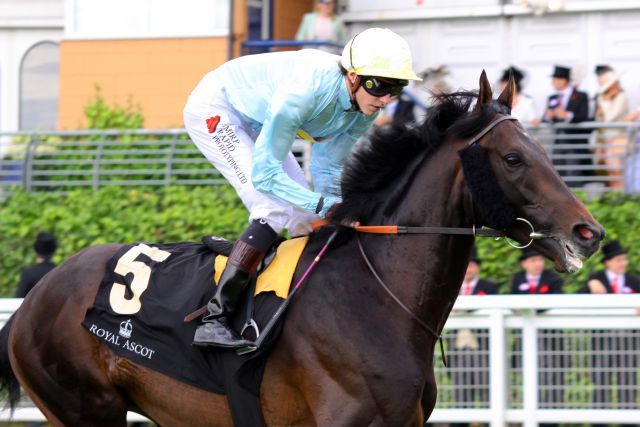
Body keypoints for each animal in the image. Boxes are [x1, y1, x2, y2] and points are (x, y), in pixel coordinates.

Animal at [0, 72, 604, 426]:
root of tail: (33, 300)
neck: (373, 297)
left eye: (541, 149)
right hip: (84, 408)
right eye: (514, 159)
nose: (588, 232)